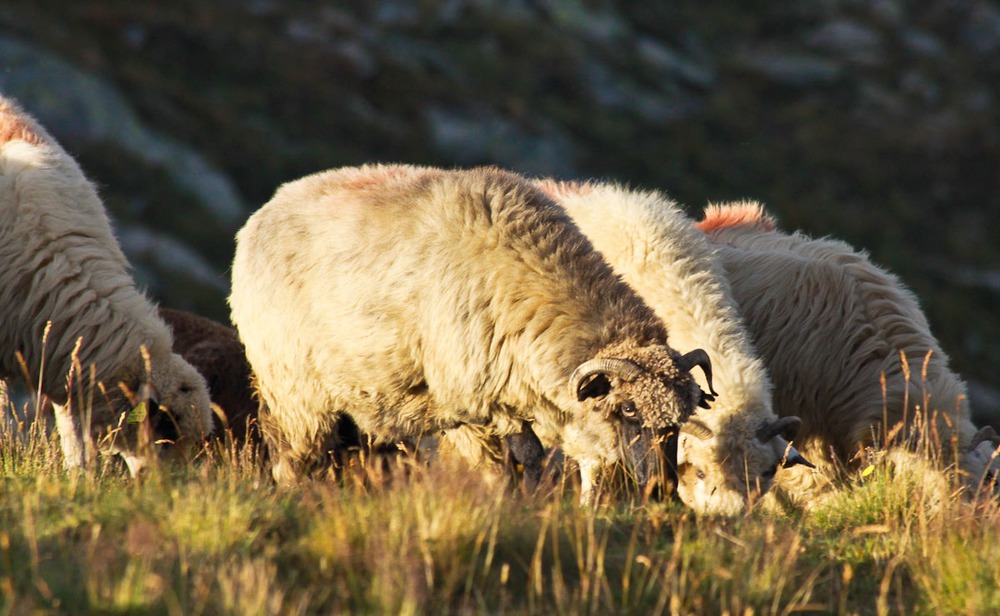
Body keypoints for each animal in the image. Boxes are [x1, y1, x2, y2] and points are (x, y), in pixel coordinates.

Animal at [229, 164, 712, 500]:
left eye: (683, 419)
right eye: (628, 411)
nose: (661, 491)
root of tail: (265, 211)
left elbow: (528, 460)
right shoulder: (472, 401)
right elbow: (511, 463)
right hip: (294, 387)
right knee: (294, 452)